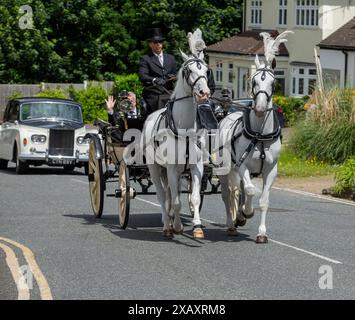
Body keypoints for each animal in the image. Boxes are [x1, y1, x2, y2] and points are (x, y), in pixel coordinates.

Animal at [141, 29, 210, 238]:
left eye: (206, 70)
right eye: (189, 71)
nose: (204, 93)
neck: (184, 129)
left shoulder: (195, 167)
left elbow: (194, 199)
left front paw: (197, 227)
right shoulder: (171, 168)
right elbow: (176, 201)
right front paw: (177, 226)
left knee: (170, 194)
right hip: (155, 168)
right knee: (162, 194)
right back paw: (166, 223)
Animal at [220, 31, 292, 244]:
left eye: (273, 82)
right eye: (253, 82)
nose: (259, 109)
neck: (260, 135)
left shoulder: (270, 170)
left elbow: (264, 200)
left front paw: (261, 232)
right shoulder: (242, 165)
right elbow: (251, 191)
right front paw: (246, 212)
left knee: (240, 190)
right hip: (225, 169)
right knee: (229, 194)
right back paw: (231, 223)